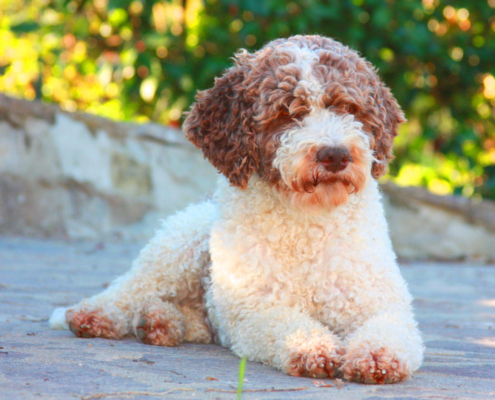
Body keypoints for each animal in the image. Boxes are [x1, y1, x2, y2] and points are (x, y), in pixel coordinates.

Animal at [50, 35, 424, 384]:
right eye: (287, 112)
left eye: (348, 107)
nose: (335, 155)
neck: (307, 221)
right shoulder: (253, 306)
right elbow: (288, 325)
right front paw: (312, 347)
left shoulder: (377, 300)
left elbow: (391, 329)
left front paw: (376, 357)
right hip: (179, 245)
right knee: (131, 287)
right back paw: (95, 314)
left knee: (199, 319)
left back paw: (162, 321)